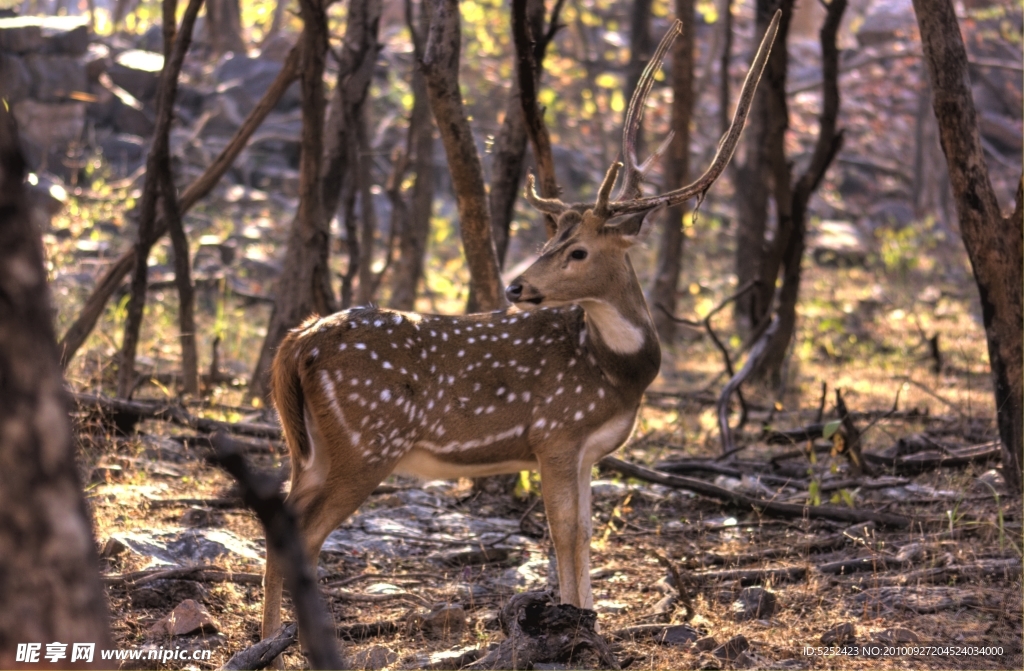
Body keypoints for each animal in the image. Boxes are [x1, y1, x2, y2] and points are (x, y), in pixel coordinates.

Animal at [260, 10, 778, 647]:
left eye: (576, 250)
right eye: (553, 240)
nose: (516, 286)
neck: (616, 372)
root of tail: (297, 344)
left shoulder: (583, 451)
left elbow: (582, 532)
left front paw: (588, 621)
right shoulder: (555, 431)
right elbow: (562, 532)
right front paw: (575, 625)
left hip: (307, 448)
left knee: (279, 520)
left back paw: (267, 638)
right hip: (366, 440)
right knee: (305, 535)